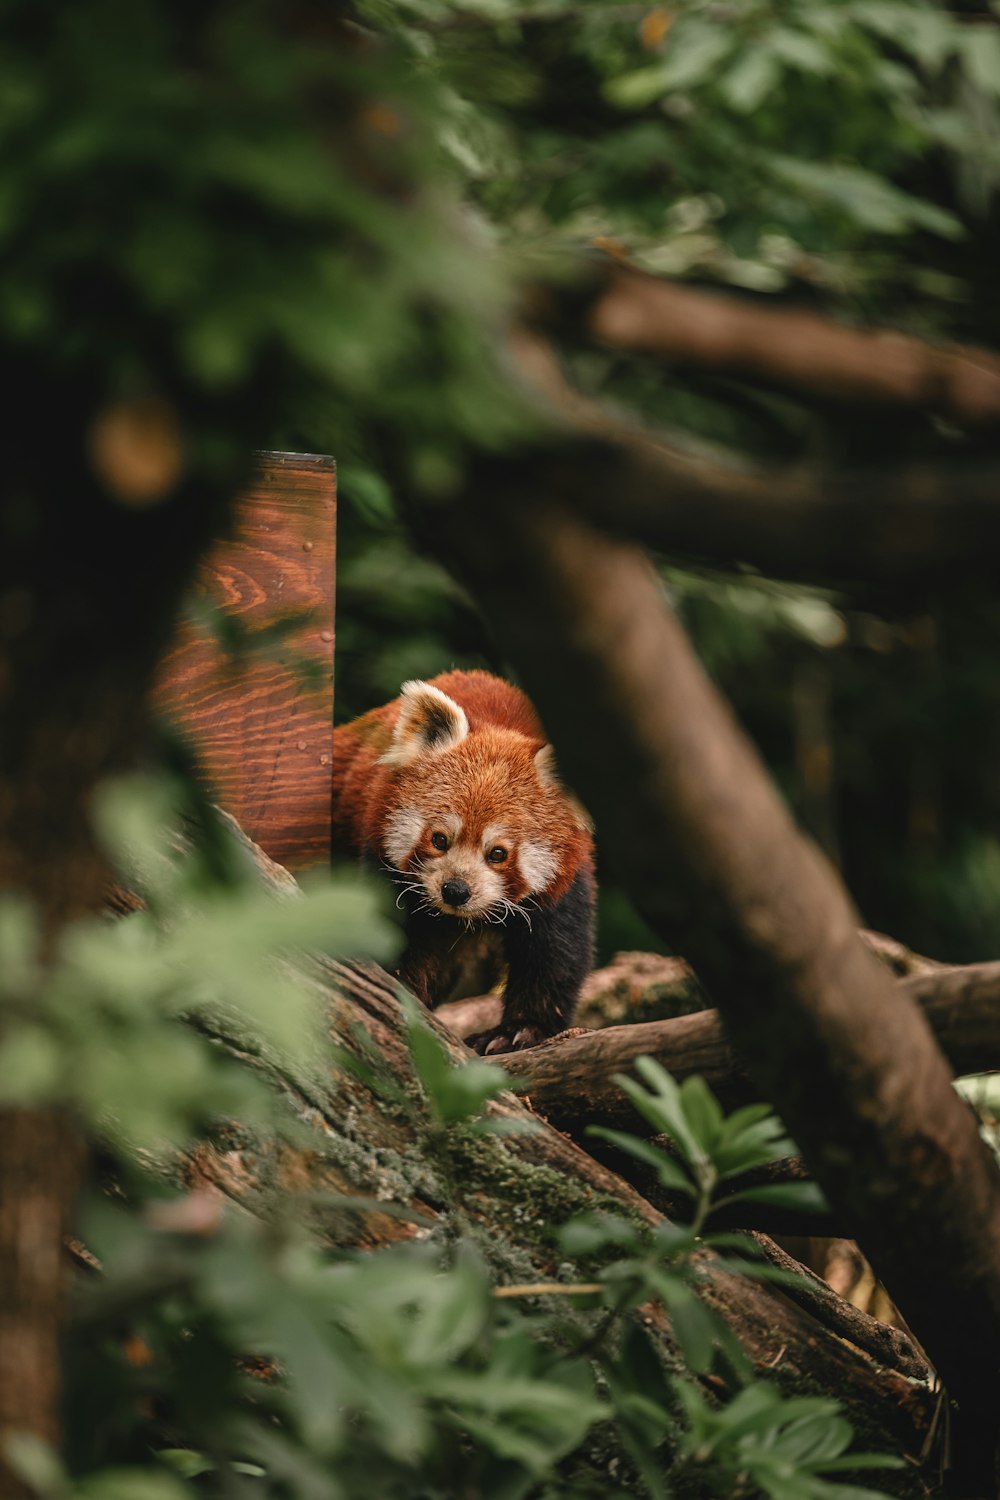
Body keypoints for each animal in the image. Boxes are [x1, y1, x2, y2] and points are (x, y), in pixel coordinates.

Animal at [332, 669, 593, 1056]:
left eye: (498, 853)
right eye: (439, 840)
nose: (455, 890)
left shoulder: (565, 881)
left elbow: (555, 955)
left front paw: (520, 1030)